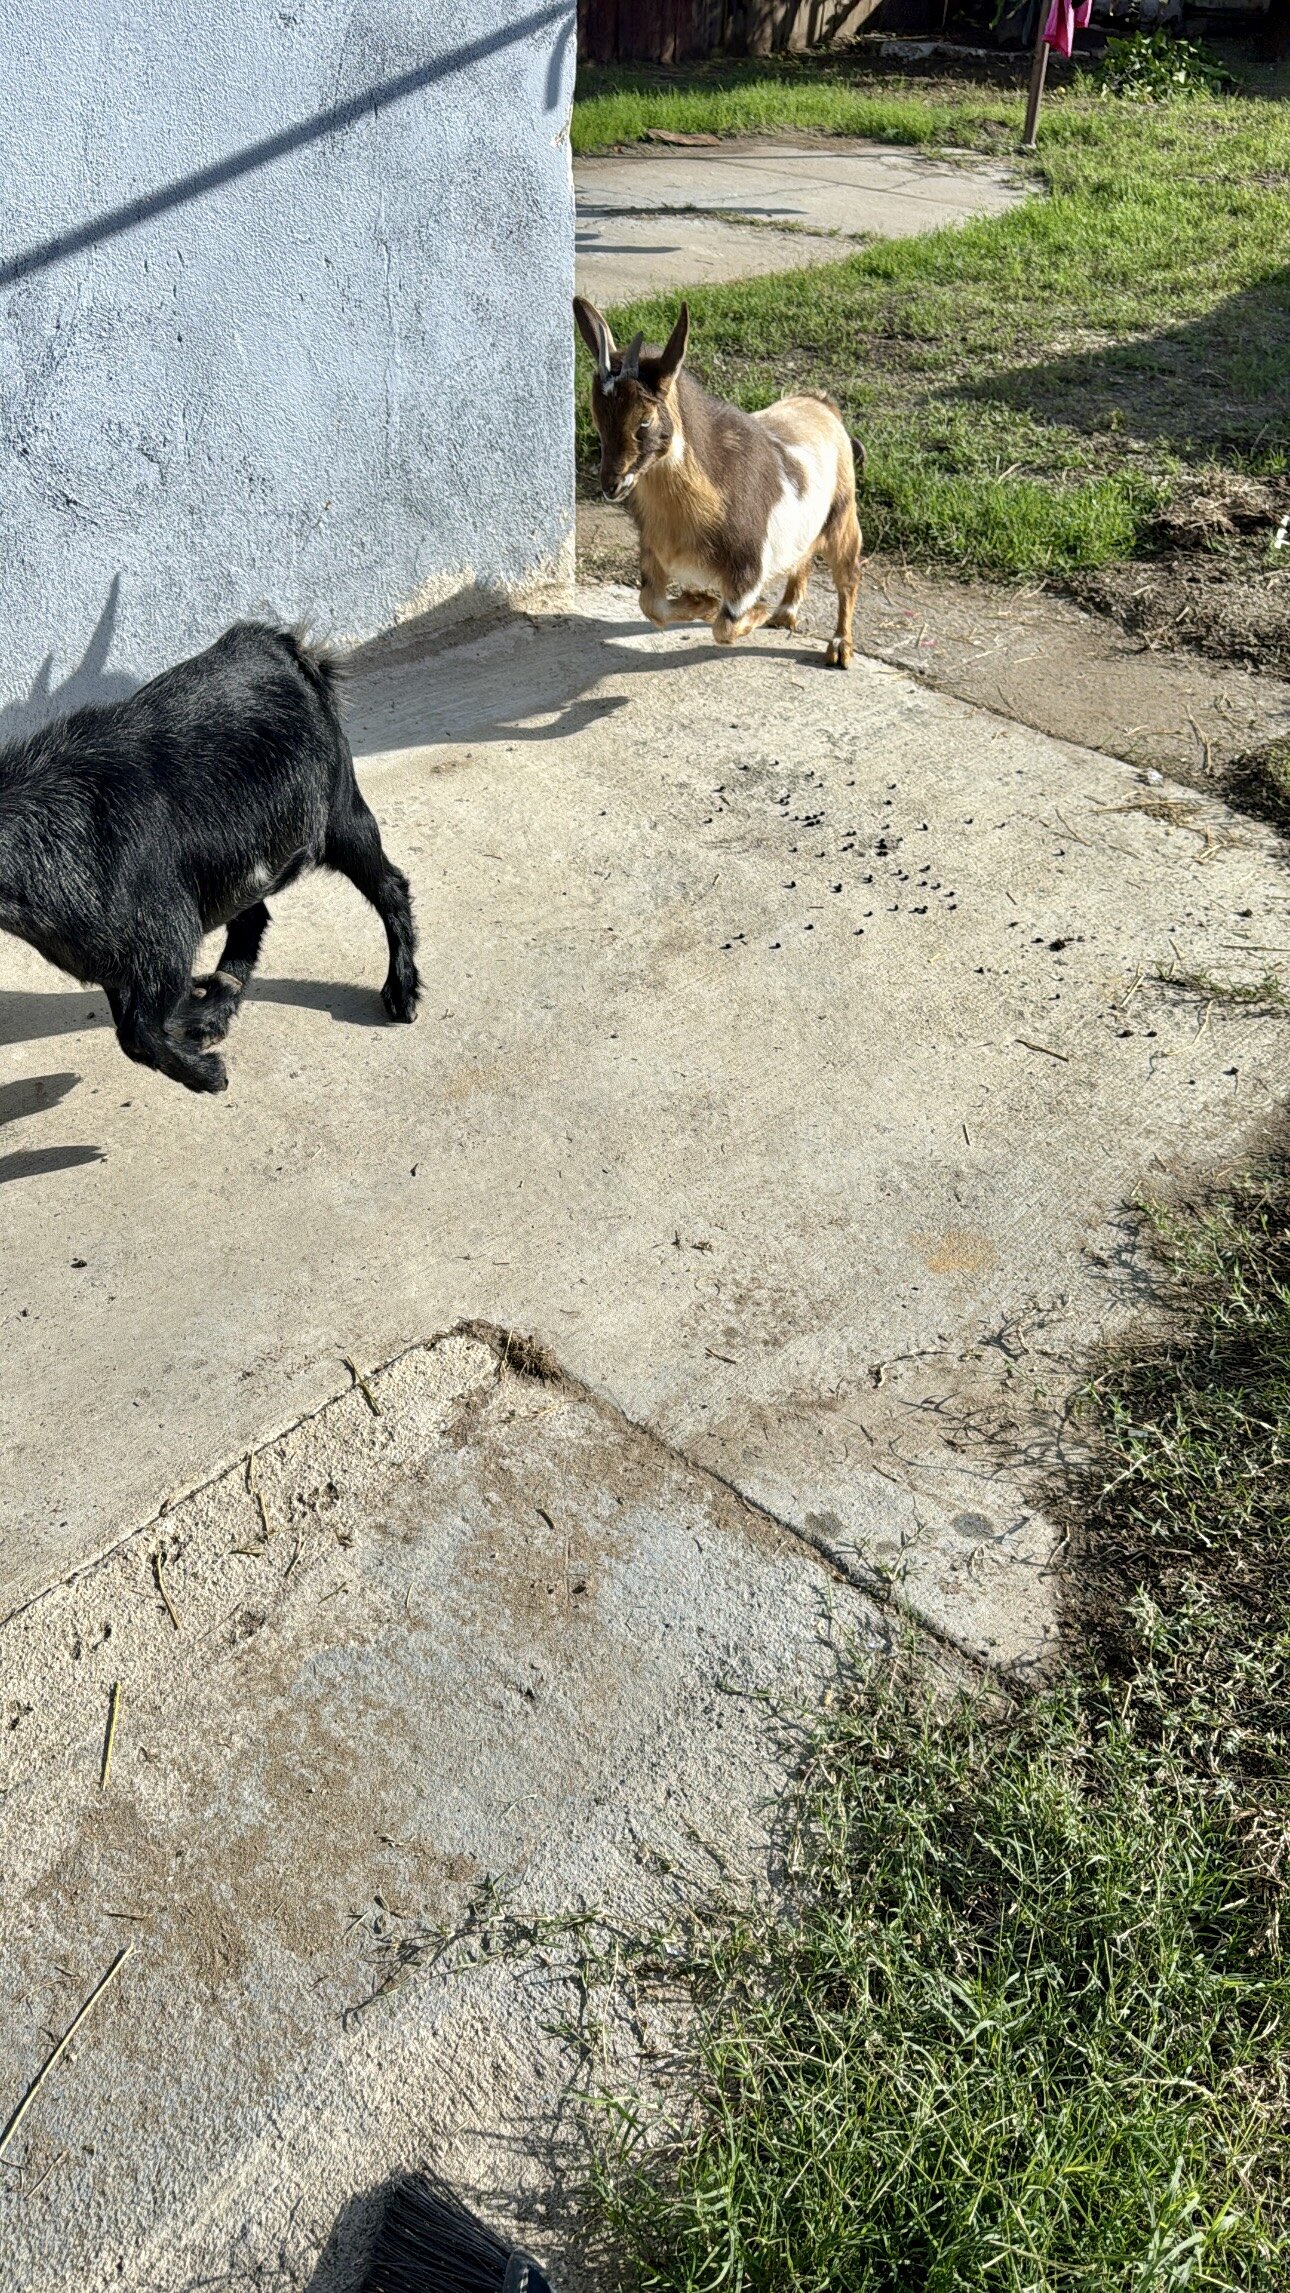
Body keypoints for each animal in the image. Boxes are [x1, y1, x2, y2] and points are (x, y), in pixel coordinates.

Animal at [0, 622, 419, 1093]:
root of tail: (278, 643)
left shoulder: (165, 940)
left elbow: (137, 1032)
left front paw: (209, 1075)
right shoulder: (114, 961)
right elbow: (131, 1028)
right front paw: (200, 1034)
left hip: (340, 815)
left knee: (388, 885)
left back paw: (401, 990)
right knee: (251, 919)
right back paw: (215, 1006)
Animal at [574, 296, 864, 668]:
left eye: (645, 421)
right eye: (596, 418)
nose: (611, 484)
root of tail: (821, 403)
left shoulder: (747, 568)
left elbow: (725, 626)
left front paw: (755, 611)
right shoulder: (654, 554)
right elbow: (650, 606)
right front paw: (703, 602)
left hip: (843, 514)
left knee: (848, 577)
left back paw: (839, 646)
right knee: (804, 557)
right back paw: (785, 613)